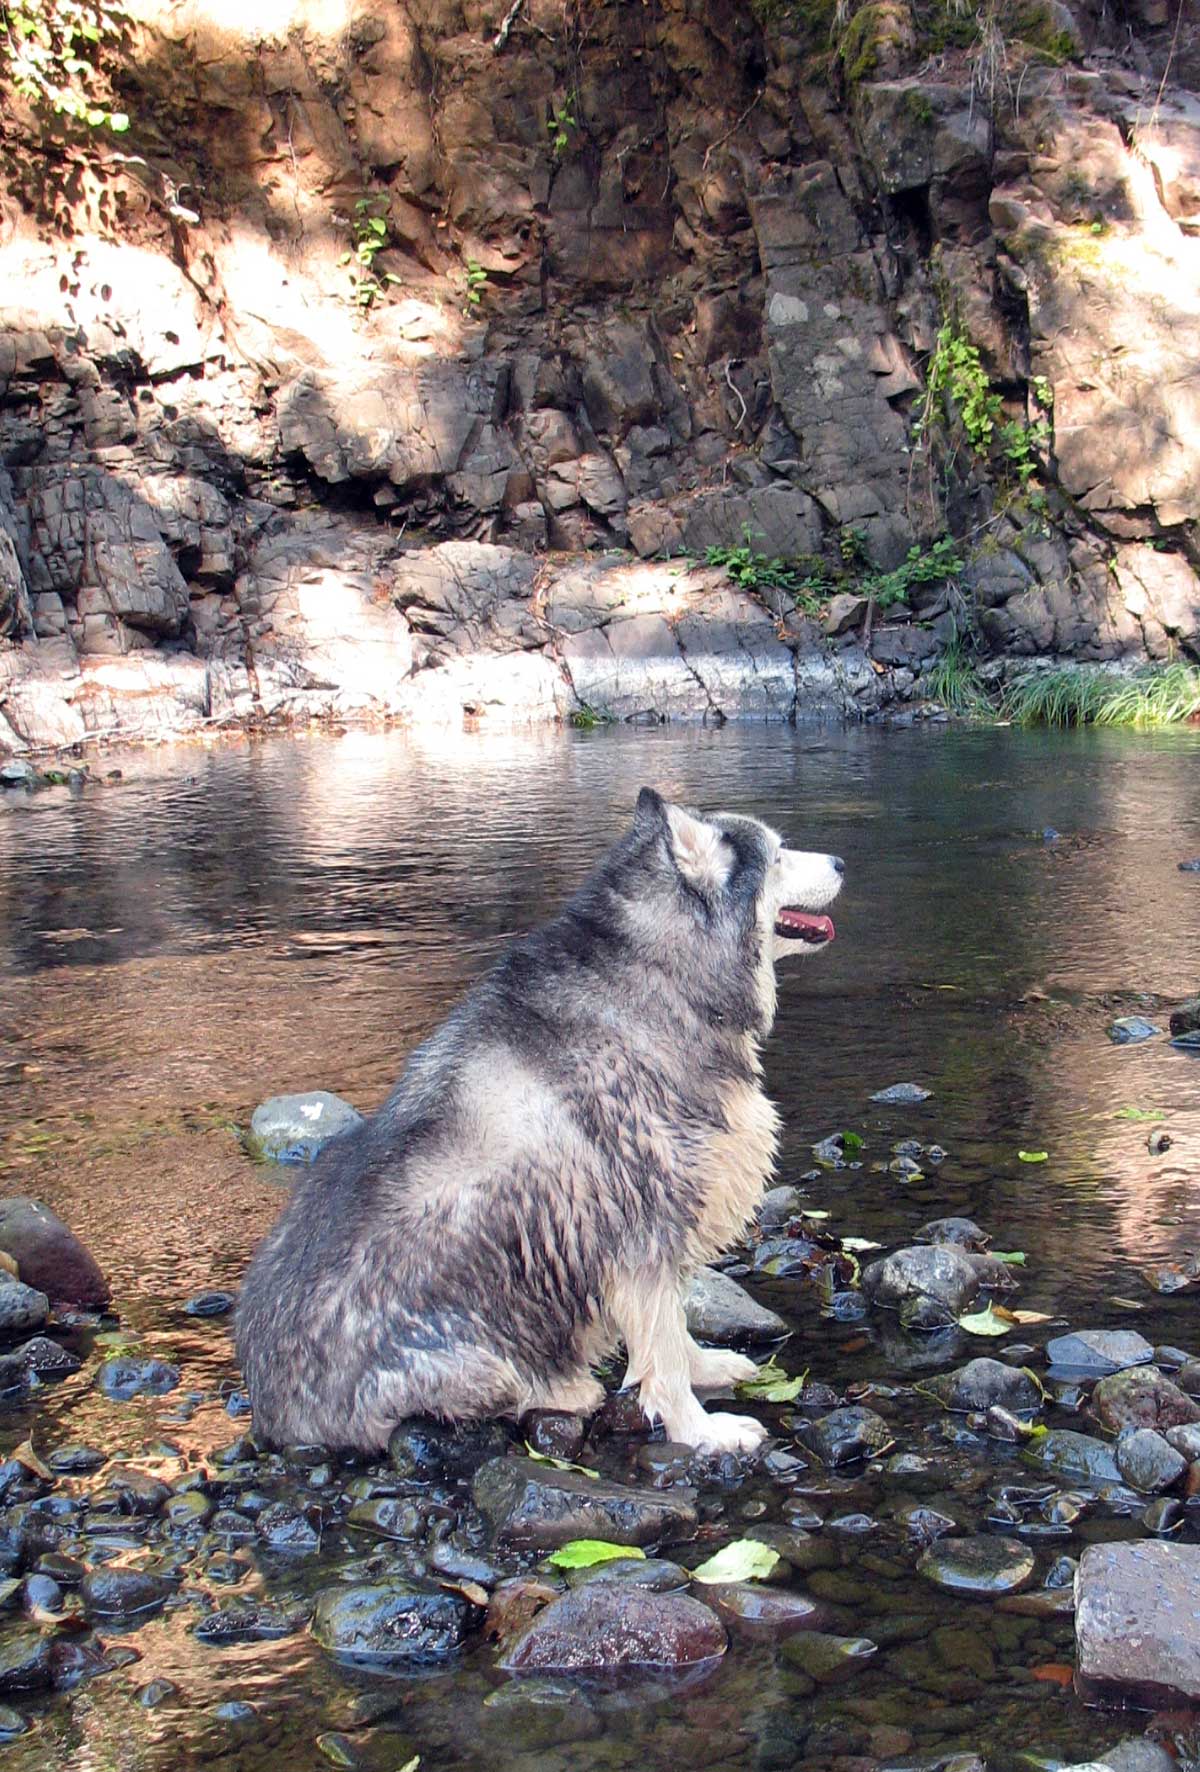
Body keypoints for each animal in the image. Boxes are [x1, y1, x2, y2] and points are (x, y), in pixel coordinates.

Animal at [235, 790, 843, 1453]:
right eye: (779, 855)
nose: (841, 862)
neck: (659, 971)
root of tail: (271, 1413)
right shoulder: (641, 1230)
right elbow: (661, 1350)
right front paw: (699, 1429)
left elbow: (675, 1331)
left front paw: (703, 1366)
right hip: (471, 1354)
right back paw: (565, 1389)